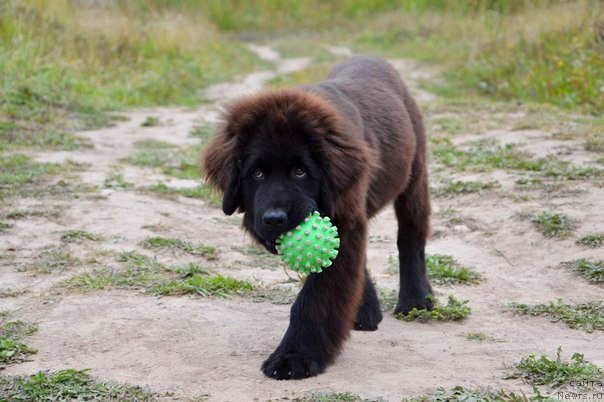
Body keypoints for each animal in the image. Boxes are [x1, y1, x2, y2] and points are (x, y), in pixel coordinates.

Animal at [205, 55, 432, 380]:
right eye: (256, 173)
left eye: (300, 171)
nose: (274, 219)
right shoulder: (347, 222)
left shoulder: (345, 221)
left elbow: (315, 298)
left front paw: (295, 357)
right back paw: (367, 311)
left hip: (414, 175)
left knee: (411, 236)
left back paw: (416, 299)